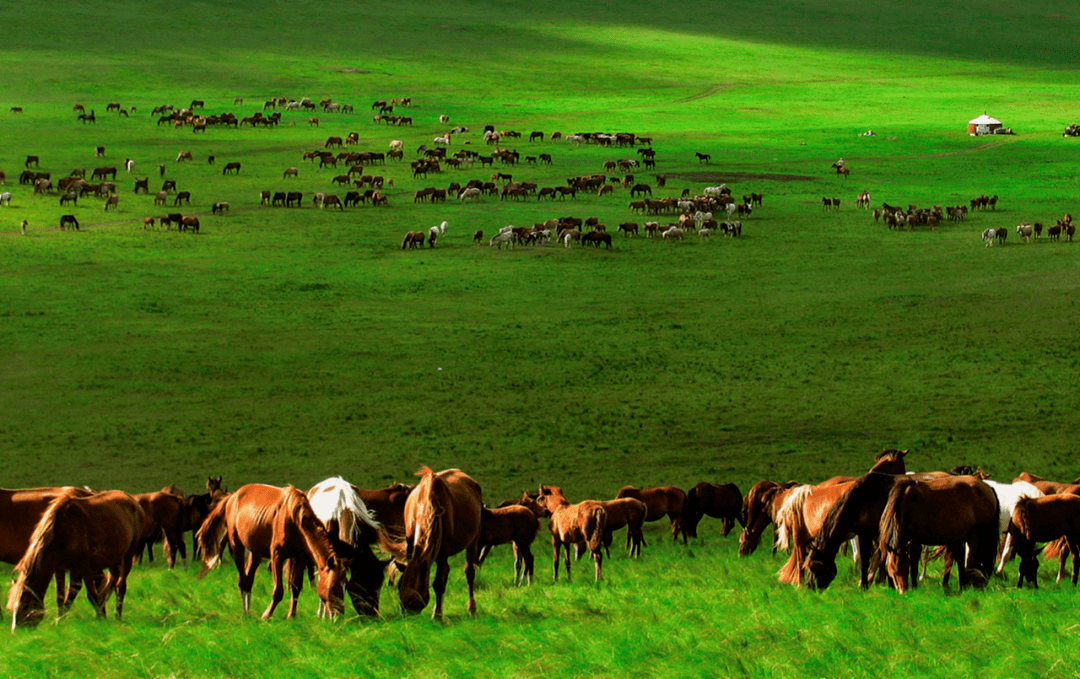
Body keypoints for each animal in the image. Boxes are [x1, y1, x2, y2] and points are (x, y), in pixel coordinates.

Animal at [4, 487, 145, 626]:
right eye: (11, 609)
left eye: (24, 607)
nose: (15, 630)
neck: (63, 530)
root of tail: (132, 500)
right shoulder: (61, 567)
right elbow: (61, 595)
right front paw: (59, 619)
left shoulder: (85, 567)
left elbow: (90, 595)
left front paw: (101, 618)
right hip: (113, 560)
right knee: (115, 583)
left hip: (128, 555)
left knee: (121, 585)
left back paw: (117, 616)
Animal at [196, 481, 343, 621]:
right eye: (332, 587)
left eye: (344, 585)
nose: (338, 615)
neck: (294, 518)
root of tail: (232, 496)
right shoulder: (277, 556)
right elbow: (278, 591)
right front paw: (267, 615)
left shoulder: (299, 558)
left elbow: (296, 587)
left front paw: (292, 615)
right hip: (236, 545)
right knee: (242, 580)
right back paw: (244, 613)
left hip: (256, 553)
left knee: (248, 580)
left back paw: (248, 611)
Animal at [378, 468, 483, 617]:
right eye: (399, 587)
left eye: (416, 593)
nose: (406, 611)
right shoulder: (412, 544)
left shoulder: (443, 550)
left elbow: (439, 583)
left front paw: (437, 615)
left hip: (473, 541)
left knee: (469, 572)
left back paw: (472, 608)